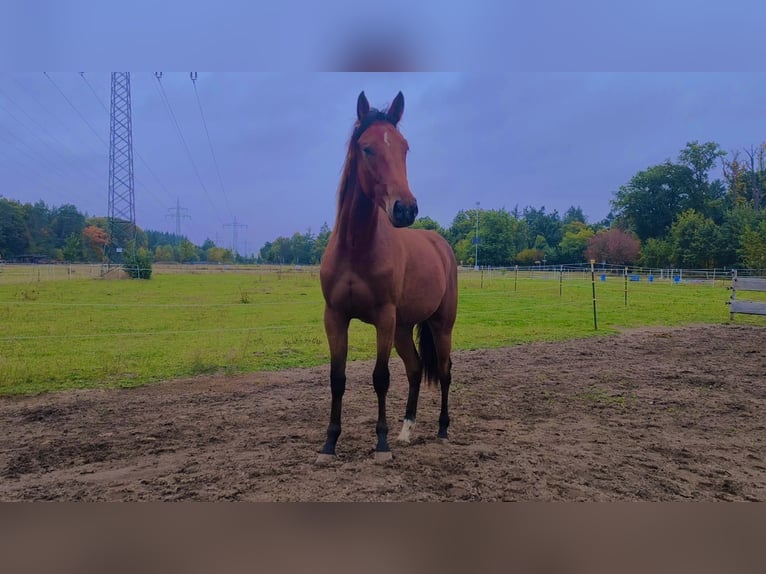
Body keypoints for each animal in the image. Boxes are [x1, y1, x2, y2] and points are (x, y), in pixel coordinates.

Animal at [317, 90, 458, 463]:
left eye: (404, 147)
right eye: (367, 148)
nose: (405, 208)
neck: (356, 248)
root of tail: (441, 245)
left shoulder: (383, 317)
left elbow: (380, 377)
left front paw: (380, 445)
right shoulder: (335, 317)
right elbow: (337, 378)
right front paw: (329, 443)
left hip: (440, 325)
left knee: (445, 370)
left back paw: (442, 429)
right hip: (403, 328)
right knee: (415, 369)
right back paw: (406, 431)